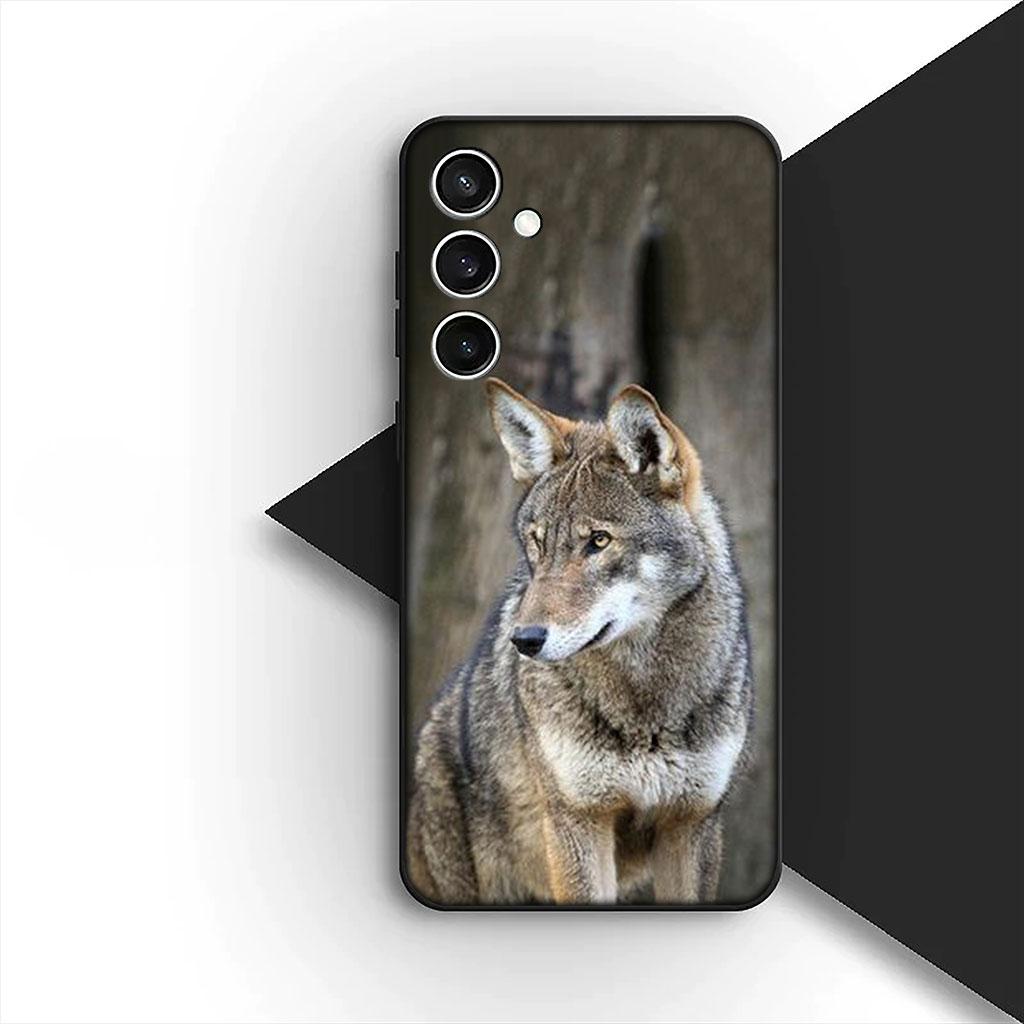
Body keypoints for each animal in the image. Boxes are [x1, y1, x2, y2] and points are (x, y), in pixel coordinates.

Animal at [406, 378, 753, 905]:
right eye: (537, 542)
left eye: (599, 542)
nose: (524, 640)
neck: (644, 704)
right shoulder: (577, 823)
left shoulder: (691, 825)